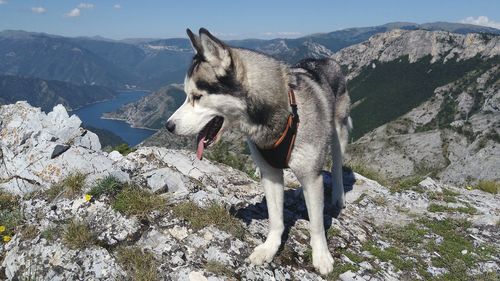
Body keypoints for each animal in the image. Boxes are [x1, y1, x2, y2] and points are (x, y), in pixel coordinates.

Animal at [166, 28, 350, 274]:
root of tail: (326, 60)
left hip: (339, 131)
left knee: (337, 165)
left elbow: (317, 225)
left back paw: (338, 196)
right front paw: (269, 248)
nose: (168, 126)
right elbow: (275, 218)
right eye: (187, 95)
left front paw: (321, 255)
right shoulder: (270, 173)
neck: (281, 115)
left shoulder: (311, 176)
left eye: (196, 96)